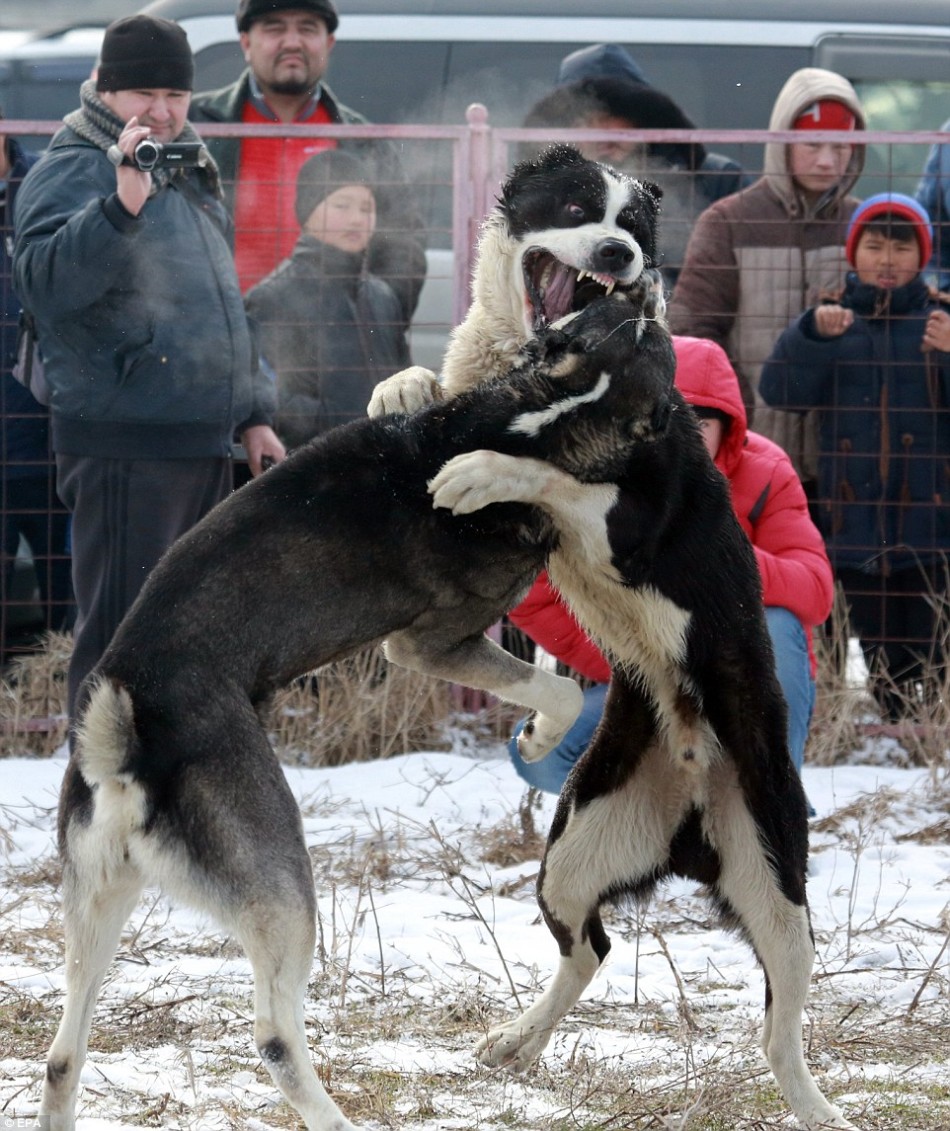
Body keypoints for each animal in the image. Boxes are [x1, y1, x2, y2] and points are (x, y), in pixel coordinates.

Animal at [35, 285, 674, 1131]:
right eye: (652, 334)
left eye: (617, 321)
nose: (640, 282)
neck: (539, 411)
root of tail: (126, 737)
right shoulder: (432, 643)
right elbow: (560, 688)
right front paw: (541, 739)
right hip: (283, 888)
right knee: (275, 1033)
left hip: (97, 902)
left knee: (62, 1052)